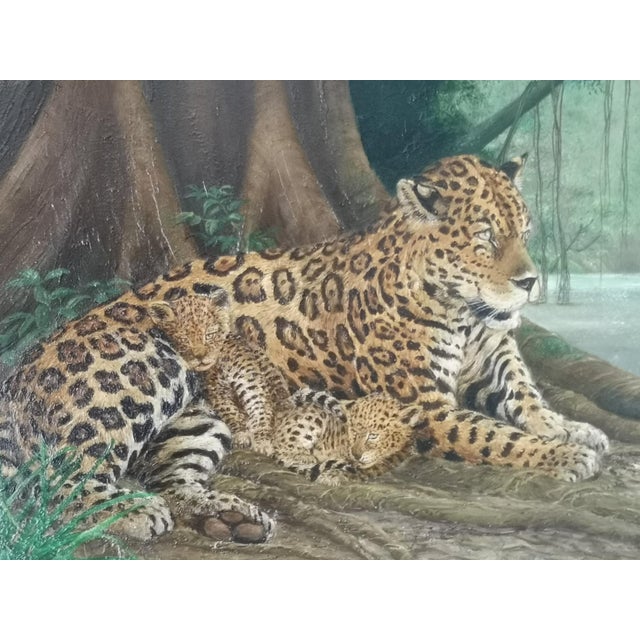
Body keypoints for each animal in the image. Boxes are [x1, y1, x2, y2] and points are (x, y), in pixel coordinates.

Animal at [0, 285, 275, 542]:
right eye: (184, 338)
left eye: (211, 333)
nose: (202, 356)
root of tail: (12, 387)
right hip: (134, 383)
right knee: (52, 478)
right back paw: (138, 510)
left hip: (195, 420)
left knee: (165, 481)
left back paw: (231, 517)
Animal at [148, 292, 418, 485]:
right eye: (183, 339)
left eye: (210, 333)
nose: (201, 357)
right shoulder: (217, 391)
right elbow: (231, 411)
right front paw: (245, 434)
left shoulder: (249, 378)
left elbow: (258, 406)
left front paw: (260, 438)